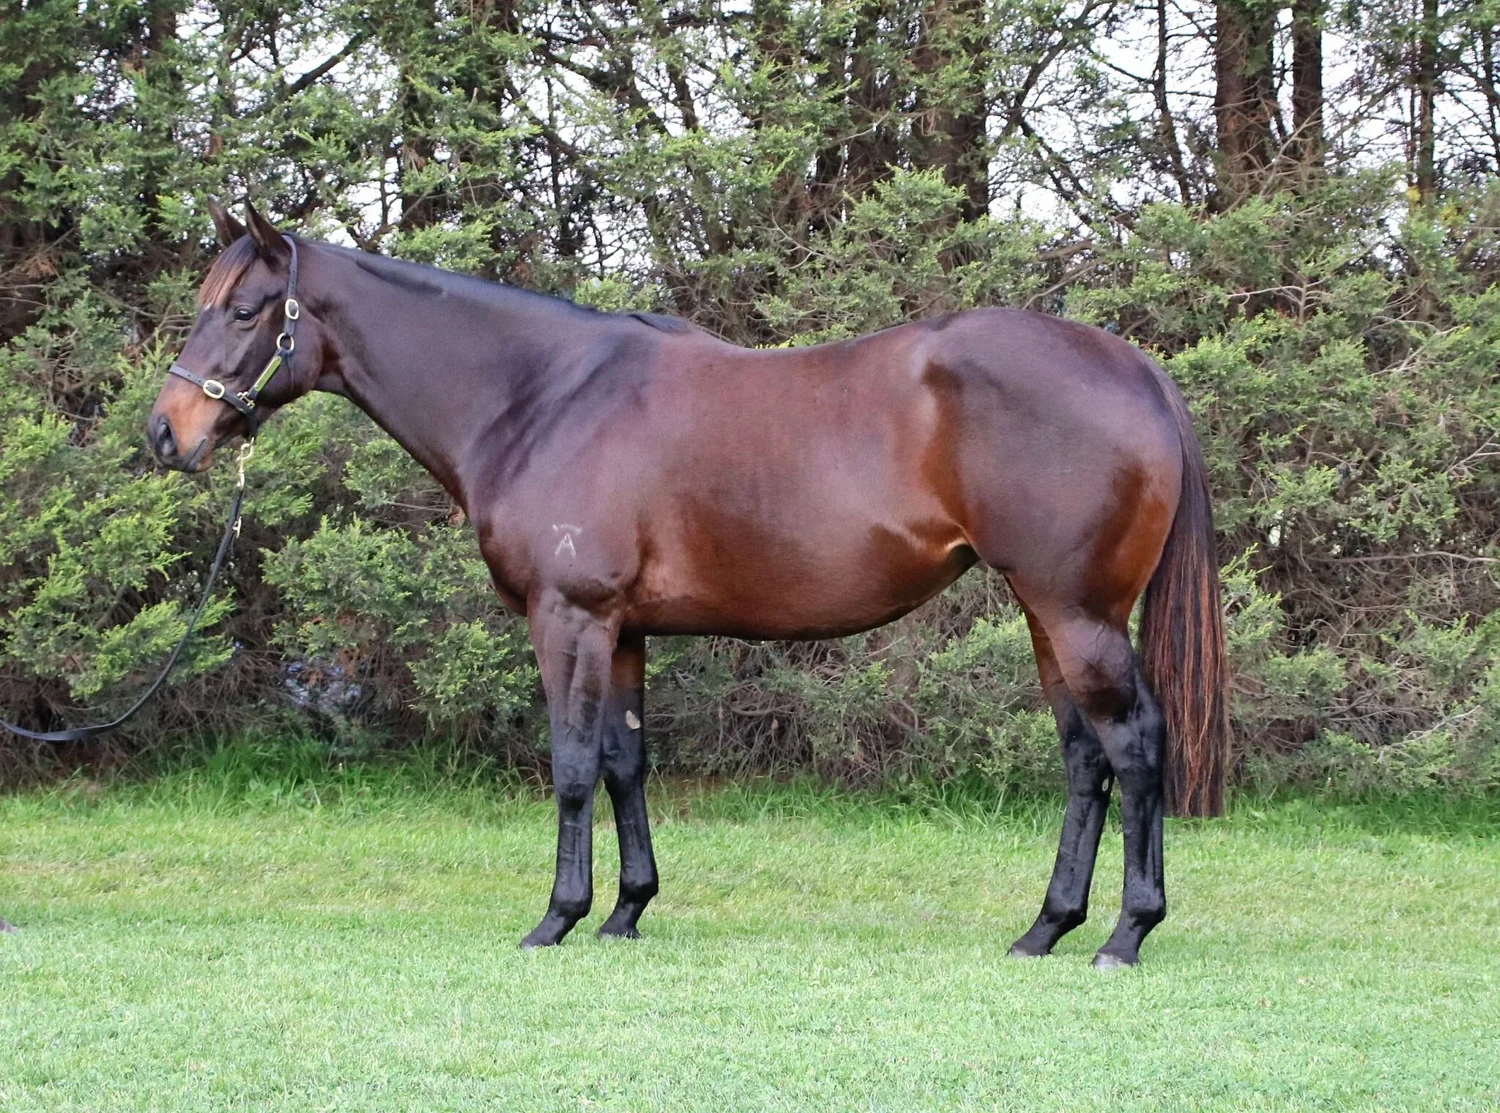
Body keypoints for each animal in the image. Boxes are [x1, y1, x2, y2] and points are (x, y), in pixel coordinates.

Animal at [147, 200, 1227, 967]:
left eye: (245, 309)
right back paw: (1046, 929)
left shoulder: (568, 619)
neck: (539, 397)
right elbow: (626, 762)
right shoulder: (622, 630)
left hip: (1078, 615)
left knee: (1134, 746)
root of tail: (1132, 367)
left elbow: (572, 764)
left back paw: (1126, 934)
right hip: (1049, 617)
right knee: (1086, 760)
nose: (167, 432)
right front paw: (625, 913)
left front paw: (557, 917)